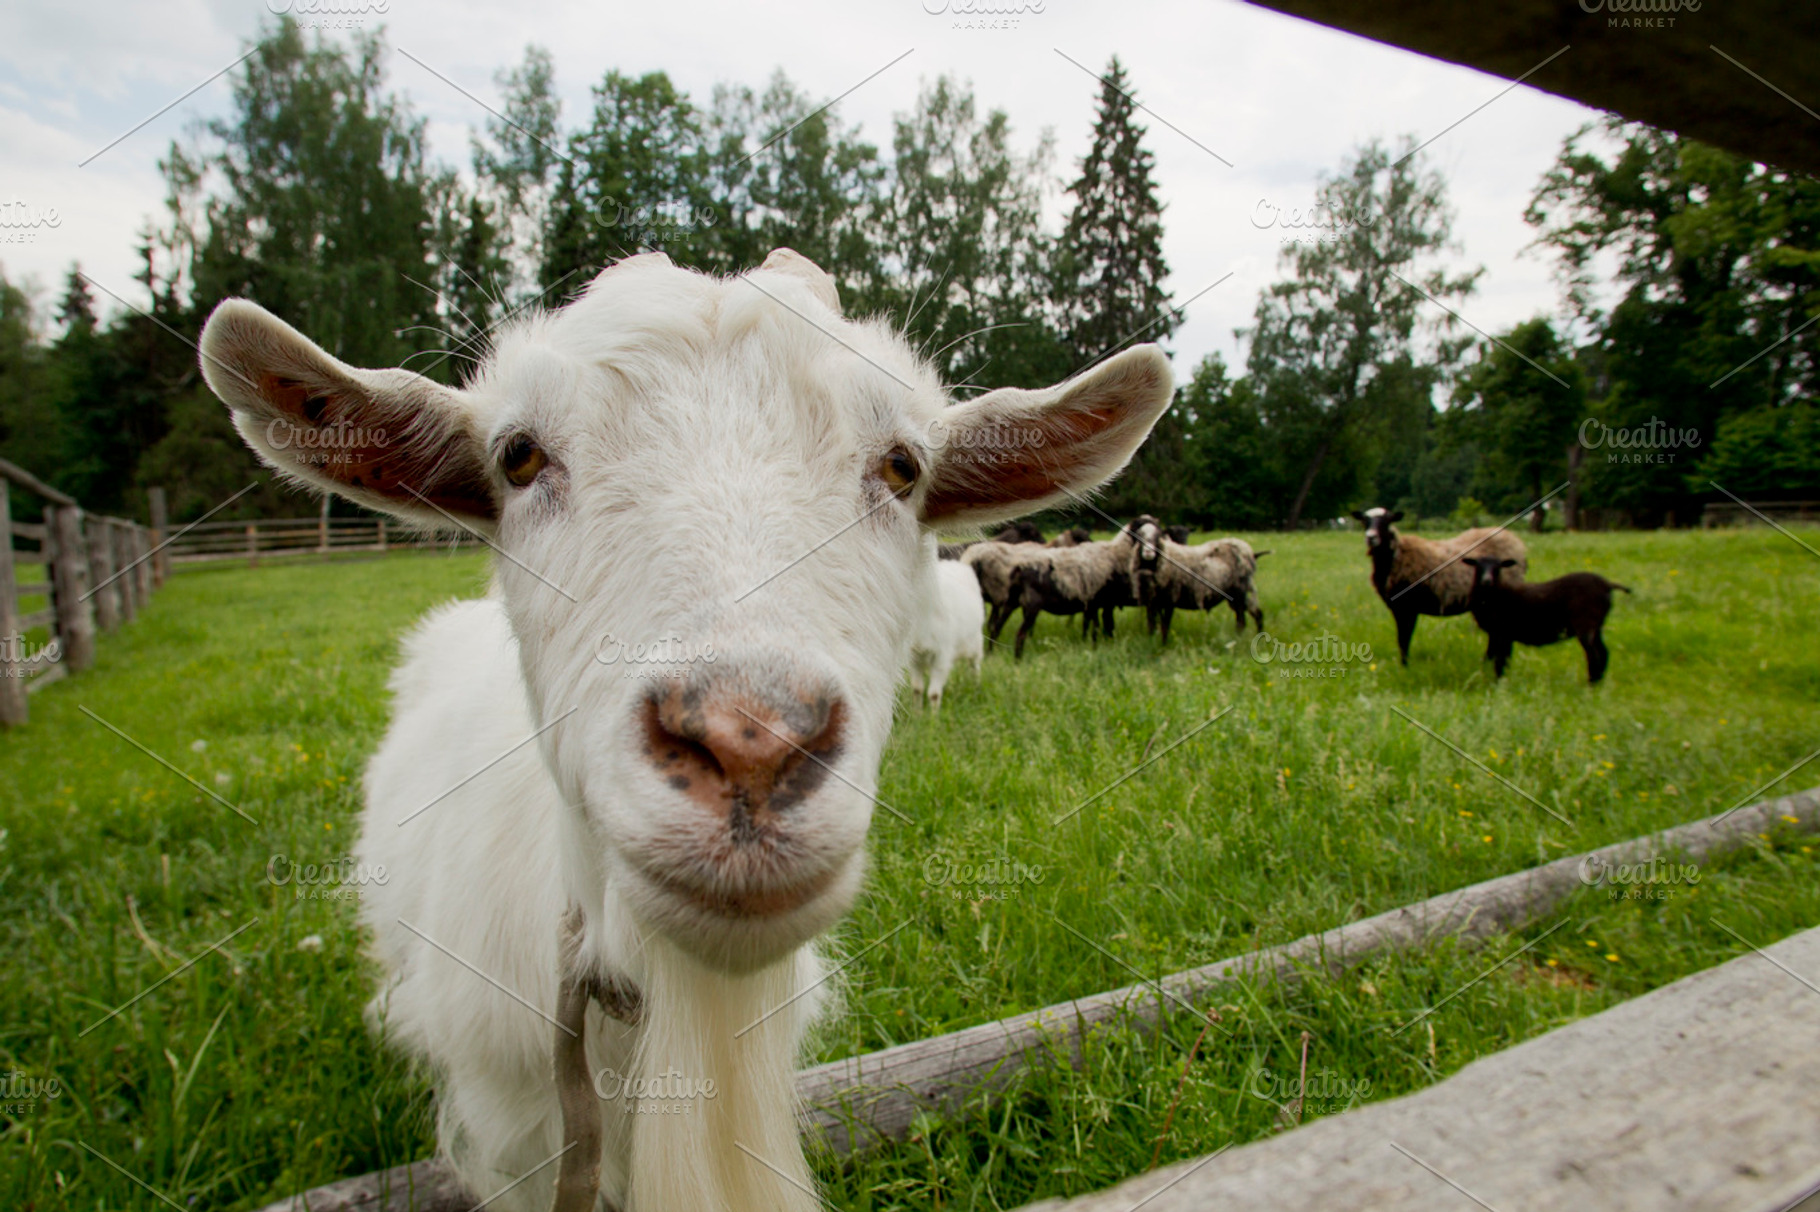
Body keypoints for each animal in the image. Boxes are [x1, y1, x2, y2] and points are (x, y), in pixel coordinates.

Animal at [907, 546, 985, 709]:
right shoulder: (914, 657)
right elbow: (917, 689)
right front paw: (917, 713)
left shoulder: (941, 655)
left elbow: (934, 694)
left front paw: (934, 716)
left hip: (976, 642)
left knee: (975, 666)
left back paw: (976, 688)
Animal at [1352, 507, 1528, 666]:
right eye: (1365, 521)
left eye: (1387, 521)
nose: (1371, 537)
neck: (1397, 556)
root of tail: (1516, 542)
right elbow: (1402, 638)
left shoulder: (1407, 607)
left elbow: (1404, 638)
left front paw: (1404, 667)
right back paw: (1486, 663)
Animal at [1462, 557, 1631, 682]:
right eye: (1478, 566)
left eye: (1497, 567)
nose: (1486, 581)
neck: (1495, 595)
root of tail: (1608, 585)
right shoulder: (1498, 634)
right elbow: (1492, 657)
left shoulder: (1501, 632)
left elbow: (1500, 660)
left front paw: (1498, 683)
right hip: (1597, 626)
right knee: (1603, 652)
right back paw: (1598, 683)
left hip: (1585, 623)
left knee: (1593, 655)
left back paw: (1590, 685)